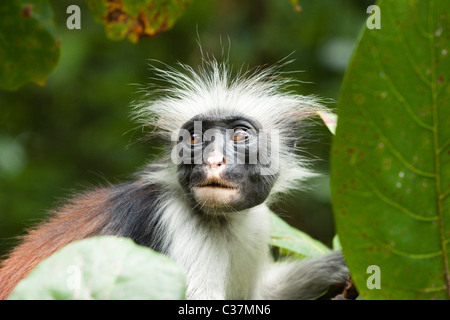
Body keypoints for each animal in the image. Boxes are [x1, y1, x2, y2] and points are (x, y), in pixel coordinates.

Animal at [0, 57, 348, 300]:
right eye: (194, 139)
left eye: (239, 135)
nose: (213, 160)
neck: (221, 221)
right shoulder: (174, 222)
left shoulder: (257, 224)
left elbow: (261, 294)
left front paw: (335, 266)